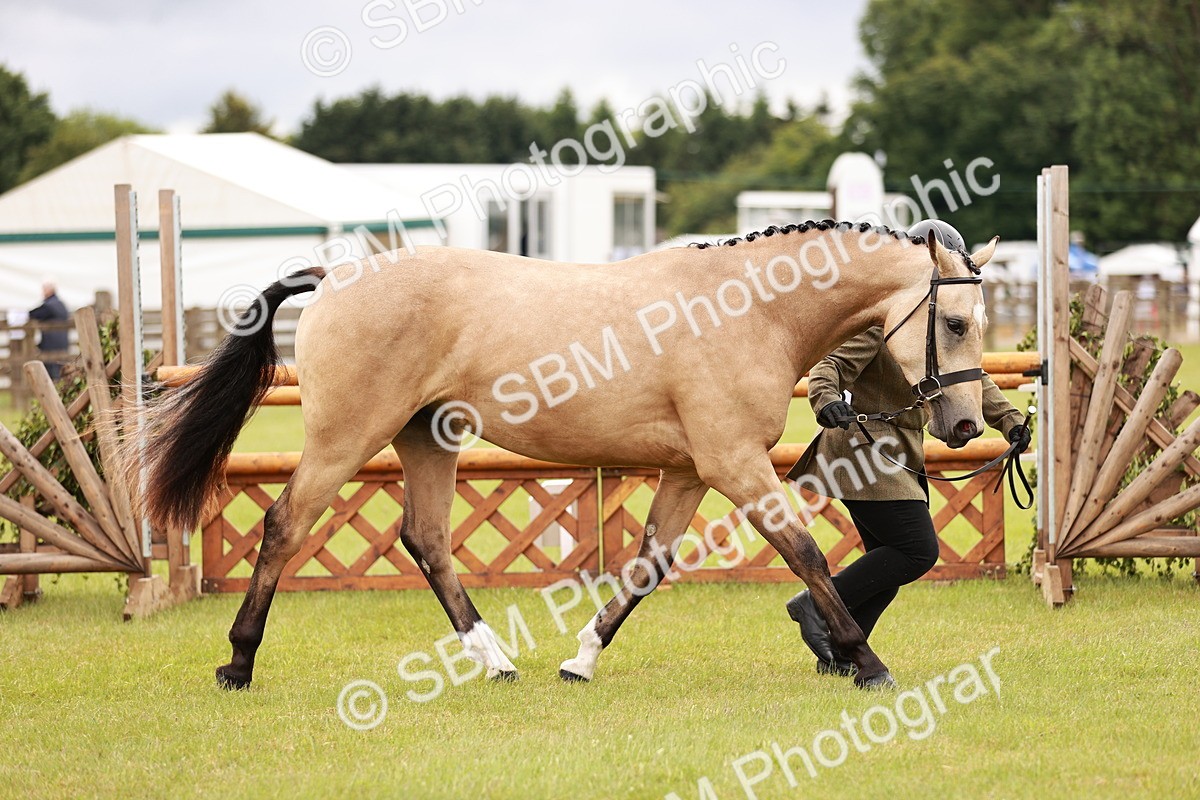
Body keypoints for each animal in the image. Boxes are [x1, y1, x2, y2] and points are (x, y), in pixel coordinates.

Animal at [131, 220, 997, 691]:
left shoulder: (689, 471)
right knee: (284, 525)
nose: (961, 424)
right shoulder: (734, 466)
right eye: (955, 323)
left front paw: (581, 658)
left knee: (428, 538)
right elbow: (806, 552)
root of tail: (338, 275)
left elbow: (648, 565)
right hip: (348, 437)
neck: (748, 309)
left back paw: (494, 660)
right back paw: (238, 663)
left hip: (427, 437)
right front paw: (866, 661)